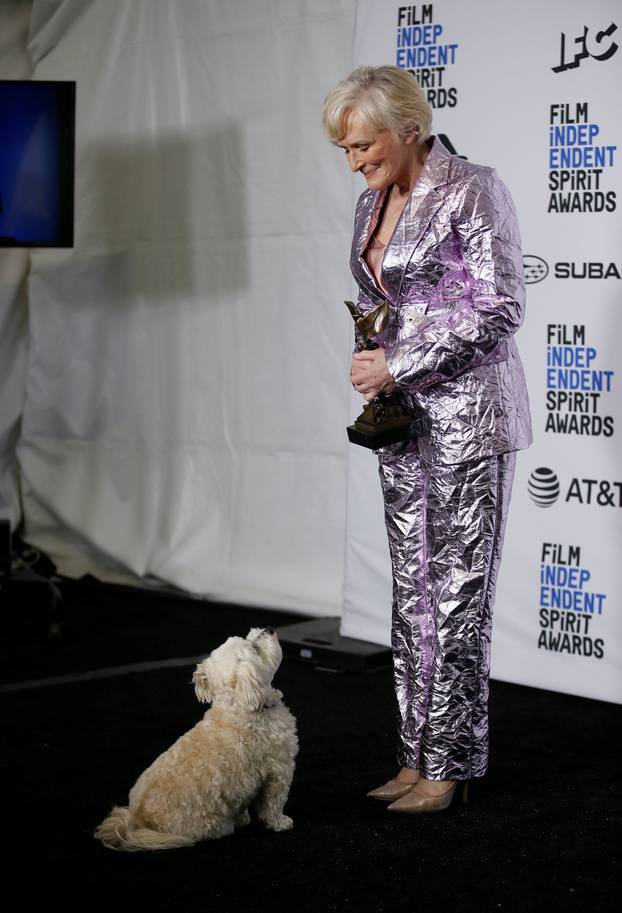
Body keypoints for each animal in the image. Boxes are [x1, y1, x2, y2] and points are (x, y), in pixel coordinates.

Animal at [95, 628, 300, 848]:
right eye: (254, 648)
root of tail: (139, 820)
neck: (241, 708)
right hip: (211, 825)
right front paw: (280, 822)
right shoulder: (279, 770)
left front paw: (244, 816)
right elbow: (274, 803)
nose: (268, 629)